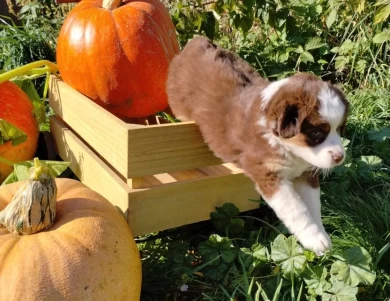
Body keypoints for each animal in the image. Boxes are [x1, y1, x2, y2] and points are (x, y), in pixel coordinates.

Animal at [166, 36, 348, 254]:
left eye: (340, 129)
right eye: (316, 133)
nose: (340, 157)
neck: (288, 148)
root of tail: (197, 41)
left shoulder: (306, 172)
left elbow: (313, 205)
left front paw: (322, 235)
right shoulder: (267, 173)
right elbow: (297, 209)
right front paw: (314, 239)